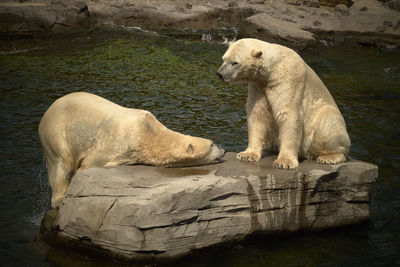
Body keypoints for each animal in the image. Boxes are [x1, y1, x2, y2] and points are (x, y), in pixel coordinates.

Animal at [39, 92, 227, 207]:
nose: (224, 150)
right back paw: (59, 199)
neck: (147, 133)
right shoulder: (114, 142)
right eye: (212, 144)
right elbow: (89, 164)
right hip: (56, 132)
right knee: (61, 164)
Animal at [216, 38, 350, 170]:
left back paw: (329, 157)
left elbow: (288, 115)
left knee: (328, 121)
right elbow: (258, 115)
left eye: (235, 62)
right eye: (223, 58)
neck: (272, 70)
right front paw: (247, 155)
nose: (219, 74)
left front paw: (284, 162)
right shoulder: (258, 86)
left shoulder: (287, 80)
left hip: (324, 116)